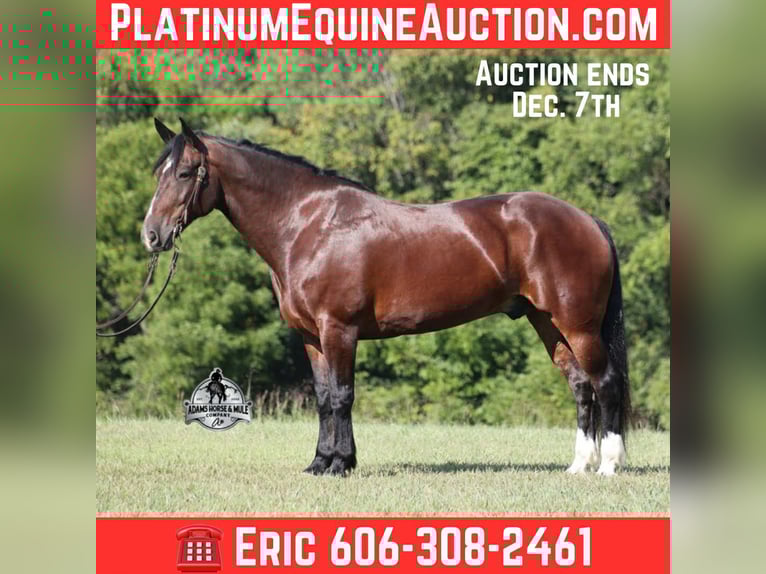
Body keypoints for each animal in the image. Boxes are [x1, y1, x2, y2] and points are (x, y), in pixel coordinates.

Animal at [143, 117, 631, 476]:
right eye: (158, 174)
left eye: (184, 173)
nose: (151, 235)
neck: (308, 225)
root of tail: (587, 219)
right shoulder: (312, 337)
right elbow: (324, 398)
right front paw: (321, 463)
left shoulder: (339, 330)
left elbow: (342, 395)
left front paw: (340, 464)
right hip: (547, 323)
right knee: (581, 386)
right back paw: (578, 466)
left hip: (578, 325)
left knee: (604, 383)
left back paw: (607, 466)